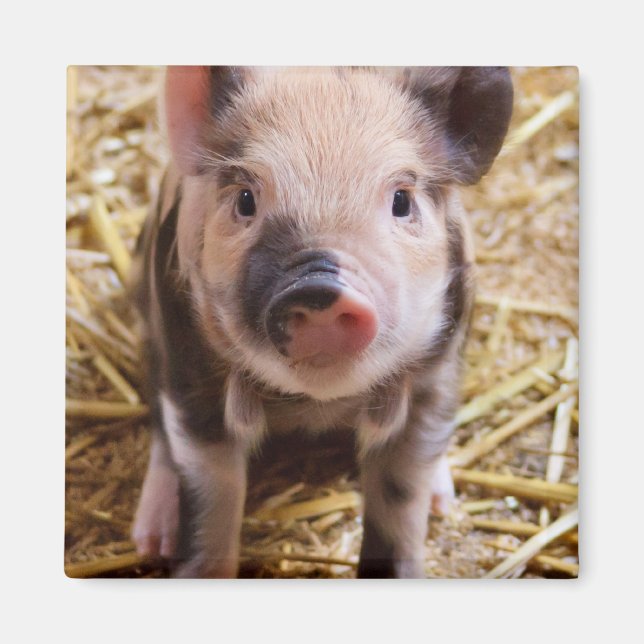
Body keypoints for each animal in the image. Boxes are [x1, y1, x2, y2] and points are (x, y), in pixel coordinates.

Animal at [130, 66, 513, 578]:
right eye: (246, 200)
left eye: (402, 201)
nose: (319, 287)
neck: (315, 405)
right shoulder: (190, 369)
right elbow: (211, 506)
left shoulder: (437, 376)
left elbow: (401, 503)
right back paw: (150, 540)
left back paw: (443, 503)